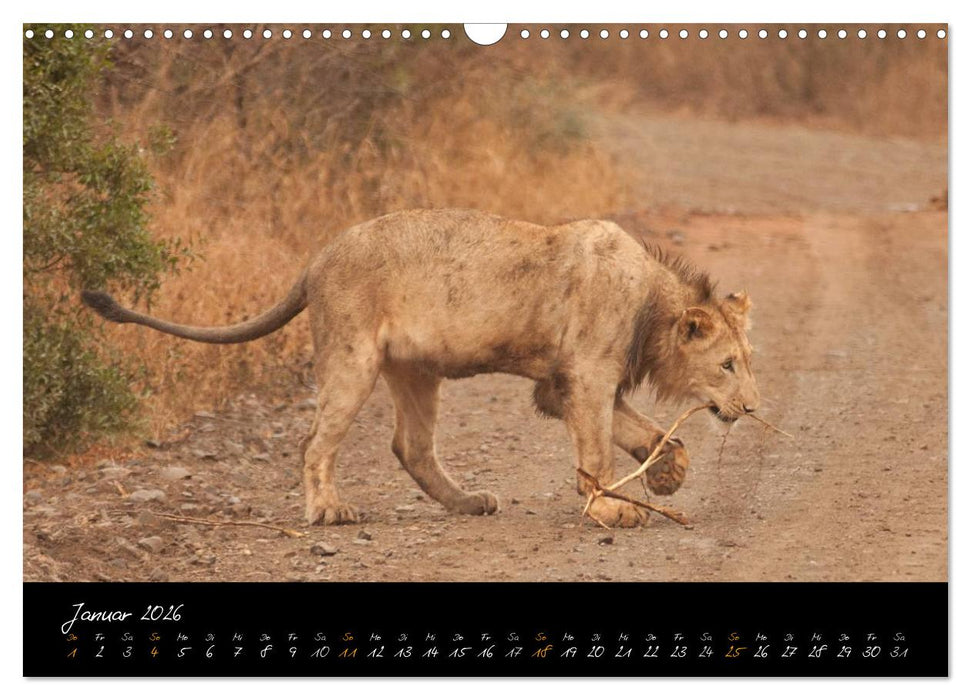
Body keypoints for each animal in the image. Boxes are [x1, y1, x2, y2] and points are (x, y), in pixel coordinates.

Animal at [82, 208, 759, 528]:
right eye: (727, 365)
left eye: (748, 364)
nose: (752, 408)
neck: (652, 303)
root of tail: (317, 258)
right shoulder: (585, 377)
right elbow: (597, 450)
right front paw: (610, 510)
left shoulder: (560, 383)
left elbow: (653, 435)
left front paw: (666, 477)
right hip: (352, 357)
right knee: (313, 442)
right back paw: (329, 511)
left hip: (415, 370)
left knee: (411, 445)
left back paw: (467, 502)